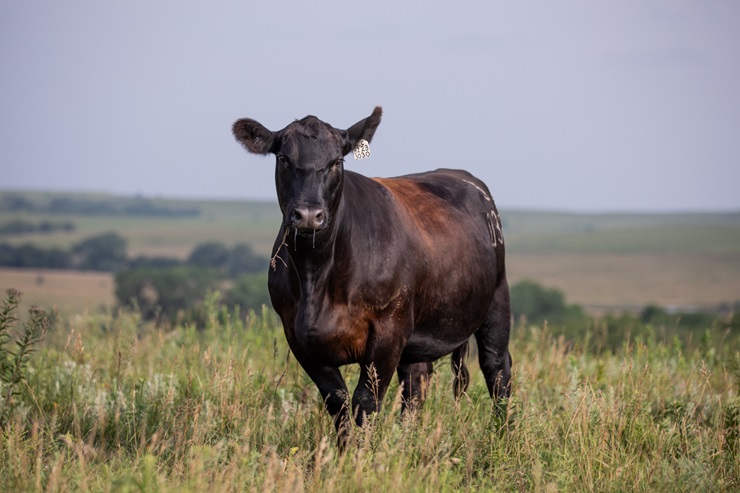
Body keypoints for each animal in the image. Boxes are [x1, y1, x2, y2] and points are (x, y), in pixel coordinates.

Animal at [232, 107, 511, 448]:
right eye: (283, 159)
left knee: (497, 369)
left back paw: (500, 438)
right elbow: (337, 402)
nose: (309, 215)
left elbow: (365, 402)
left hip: (496, 300)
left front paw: (361, 457)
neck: (317, 275)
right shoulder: (297, 336)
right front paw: (343, 453)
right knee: (416, 382)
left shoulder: (388, 328)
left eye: (337, 161)